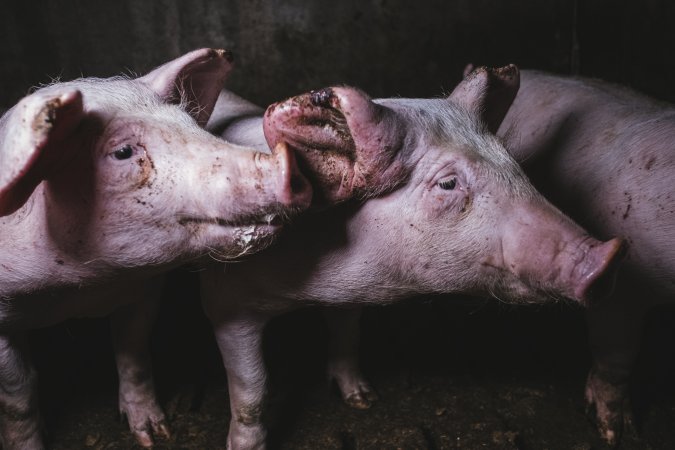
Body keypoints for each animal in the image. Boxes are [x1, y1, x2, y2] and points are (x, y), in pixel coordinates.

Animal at [0, 48, 313, 449]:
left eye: (192, 126)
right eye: (122, 151)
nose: (287, 163)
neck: (80, 291)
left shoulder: (145, 289)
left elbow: (133, 349)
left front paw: (155, 435)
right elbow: (18, 395)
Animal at [197, 66, 624, 449]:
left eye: (514, 166)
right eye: (448, 184)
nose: (608, 257)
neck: (316, 286)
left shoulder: (348, 296)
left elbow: (347, 333)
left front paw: (364, 400)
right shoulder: (227, 302)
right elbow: (253, 388)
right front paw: (245, 445)